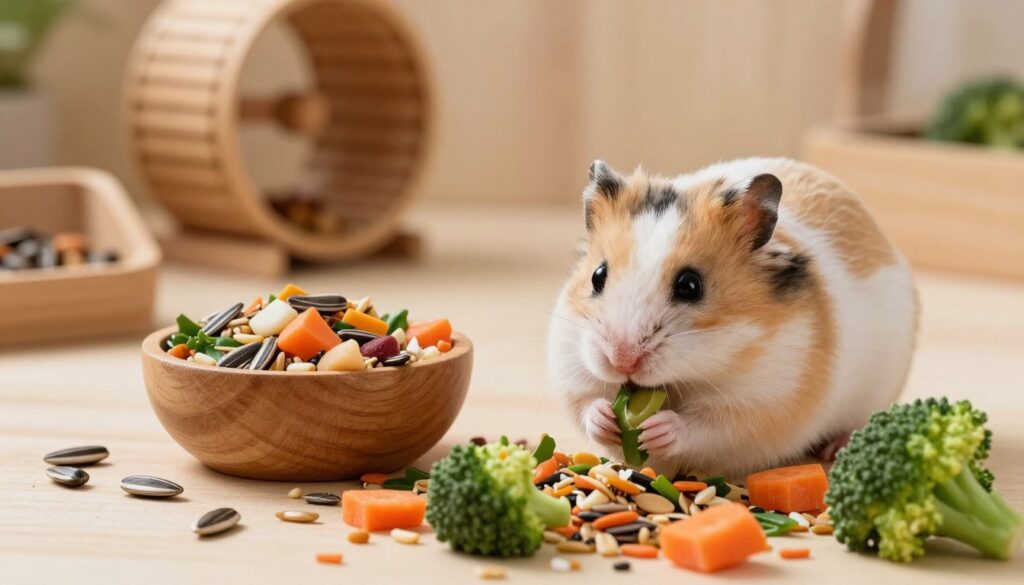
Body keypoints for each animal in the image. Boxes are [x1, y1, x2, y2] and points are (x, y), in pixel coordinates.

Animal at [548, 157, 917, 477]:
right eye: (597, 276)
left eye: (690, 286)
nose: (622, 360)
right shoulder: (571, 371)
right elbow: (586, 405)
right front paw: (605, 419)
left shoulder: (761, 403)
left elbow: (709, 427)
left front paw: (658, 429)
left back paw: (836, 447)